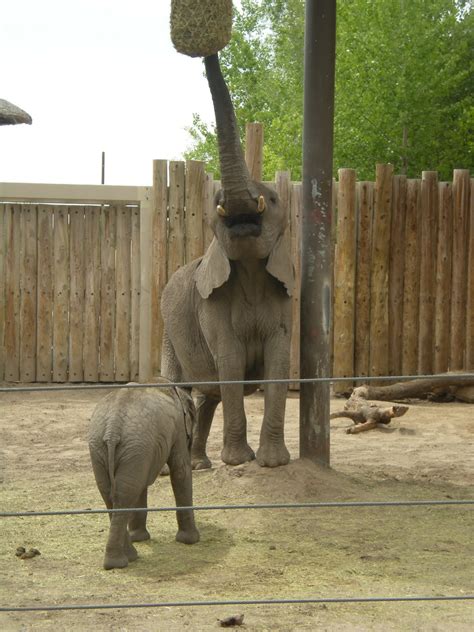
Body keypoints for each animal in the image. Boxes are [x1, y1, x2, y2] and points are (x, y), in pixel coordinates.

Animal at [88, 382, 199, 572]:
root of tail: (112, 428)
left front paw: (140, 538)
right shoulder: (177, 427)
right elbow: (180, 471)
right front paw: (191, 541)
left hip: (109, 449)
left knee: (115, 493)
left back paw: (124, 559)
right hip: (130, 446)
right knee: (124, 495)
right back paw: (123, 561)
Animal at [162, 53, 292, 470]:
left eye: (273, 198)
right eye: (216, 203)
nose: (208, 54)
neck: (250, 269)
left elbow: (279, 362)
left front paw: (273, 463)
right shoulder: (211, 306)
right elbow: (231, 360)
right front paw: (238, 462)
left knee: (207, 397)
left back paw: (200, 465)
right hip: (168, 332)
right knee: (181, 391)